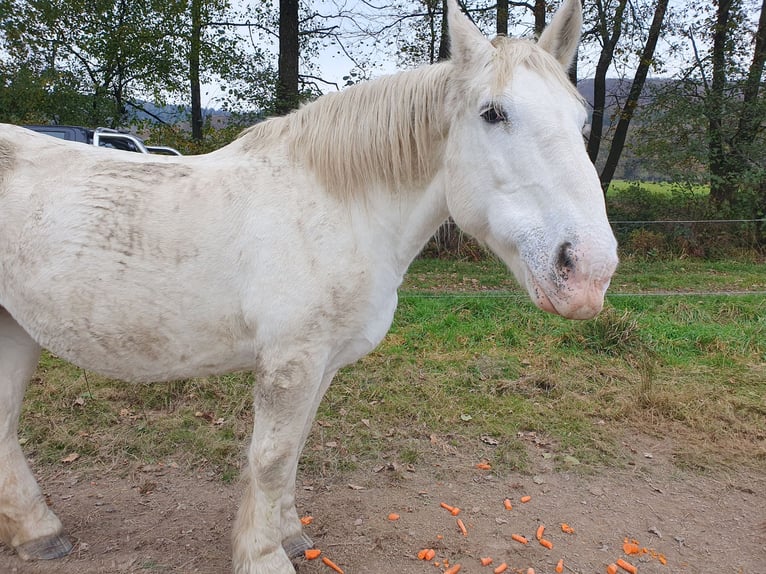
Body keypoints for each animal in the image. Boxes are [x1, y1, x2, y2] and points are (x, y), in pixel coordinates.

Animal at [0, 1, 616, 572]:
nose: (588, 269)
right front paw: (265, 555)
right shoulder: (291, 360)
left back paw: (38, 533)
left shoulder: (323, 363)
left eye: (579, 120)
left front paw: (292, 534)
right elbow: (271, 457)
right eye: (493, 113)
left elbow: (294, 451)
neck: (335, 207)